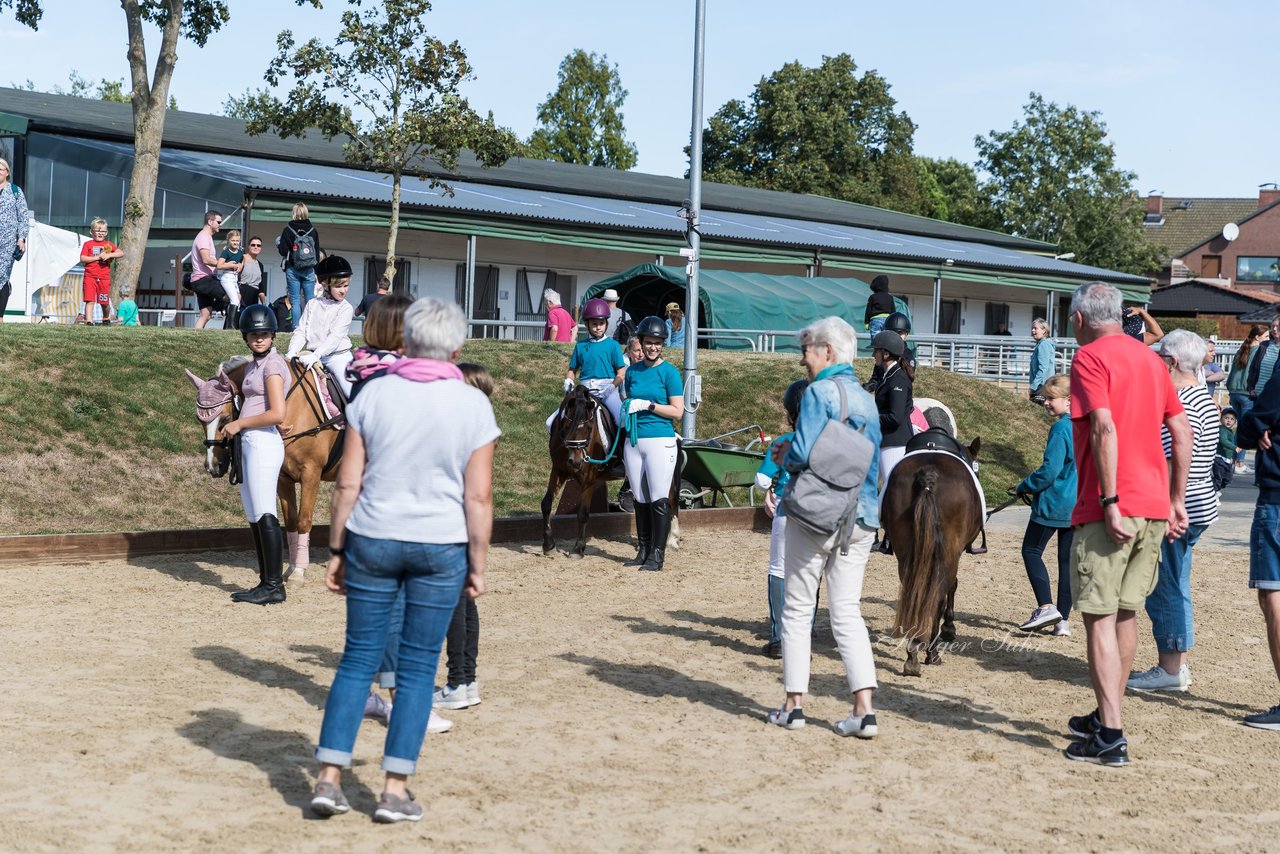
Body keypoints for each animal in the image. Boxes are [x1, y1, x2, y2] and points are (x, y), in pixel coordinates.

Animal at [184, 353, 345, 581]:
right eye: (199, 420)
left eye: (225, 418)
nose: (213, 466)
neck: (291, 406)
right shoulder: (283, 478)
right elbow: (291, 521)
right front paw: (291, 568)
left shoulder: (311, 473)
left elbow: (304, 520)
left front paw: (299, 573)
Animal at [540, 386, 680, 560]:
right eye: (566, 426)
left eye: (589, 428)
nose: (576, 462)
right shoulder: (559, 470)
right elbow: (546, 504)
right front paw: (548, 545)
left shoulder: (588, 479)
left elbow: (583, 513)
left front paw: (578, 549)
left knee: (672, 499)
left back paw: (672, 540)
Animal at [885, 430, 983, 676]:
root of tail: (929, 475)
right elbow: (952, 586)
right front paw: (949, 628)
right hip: (947, 554)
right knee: (936, 596)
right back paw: (931, 652)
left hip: (906, 554)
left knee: (914, 593)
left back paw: (912, 654)